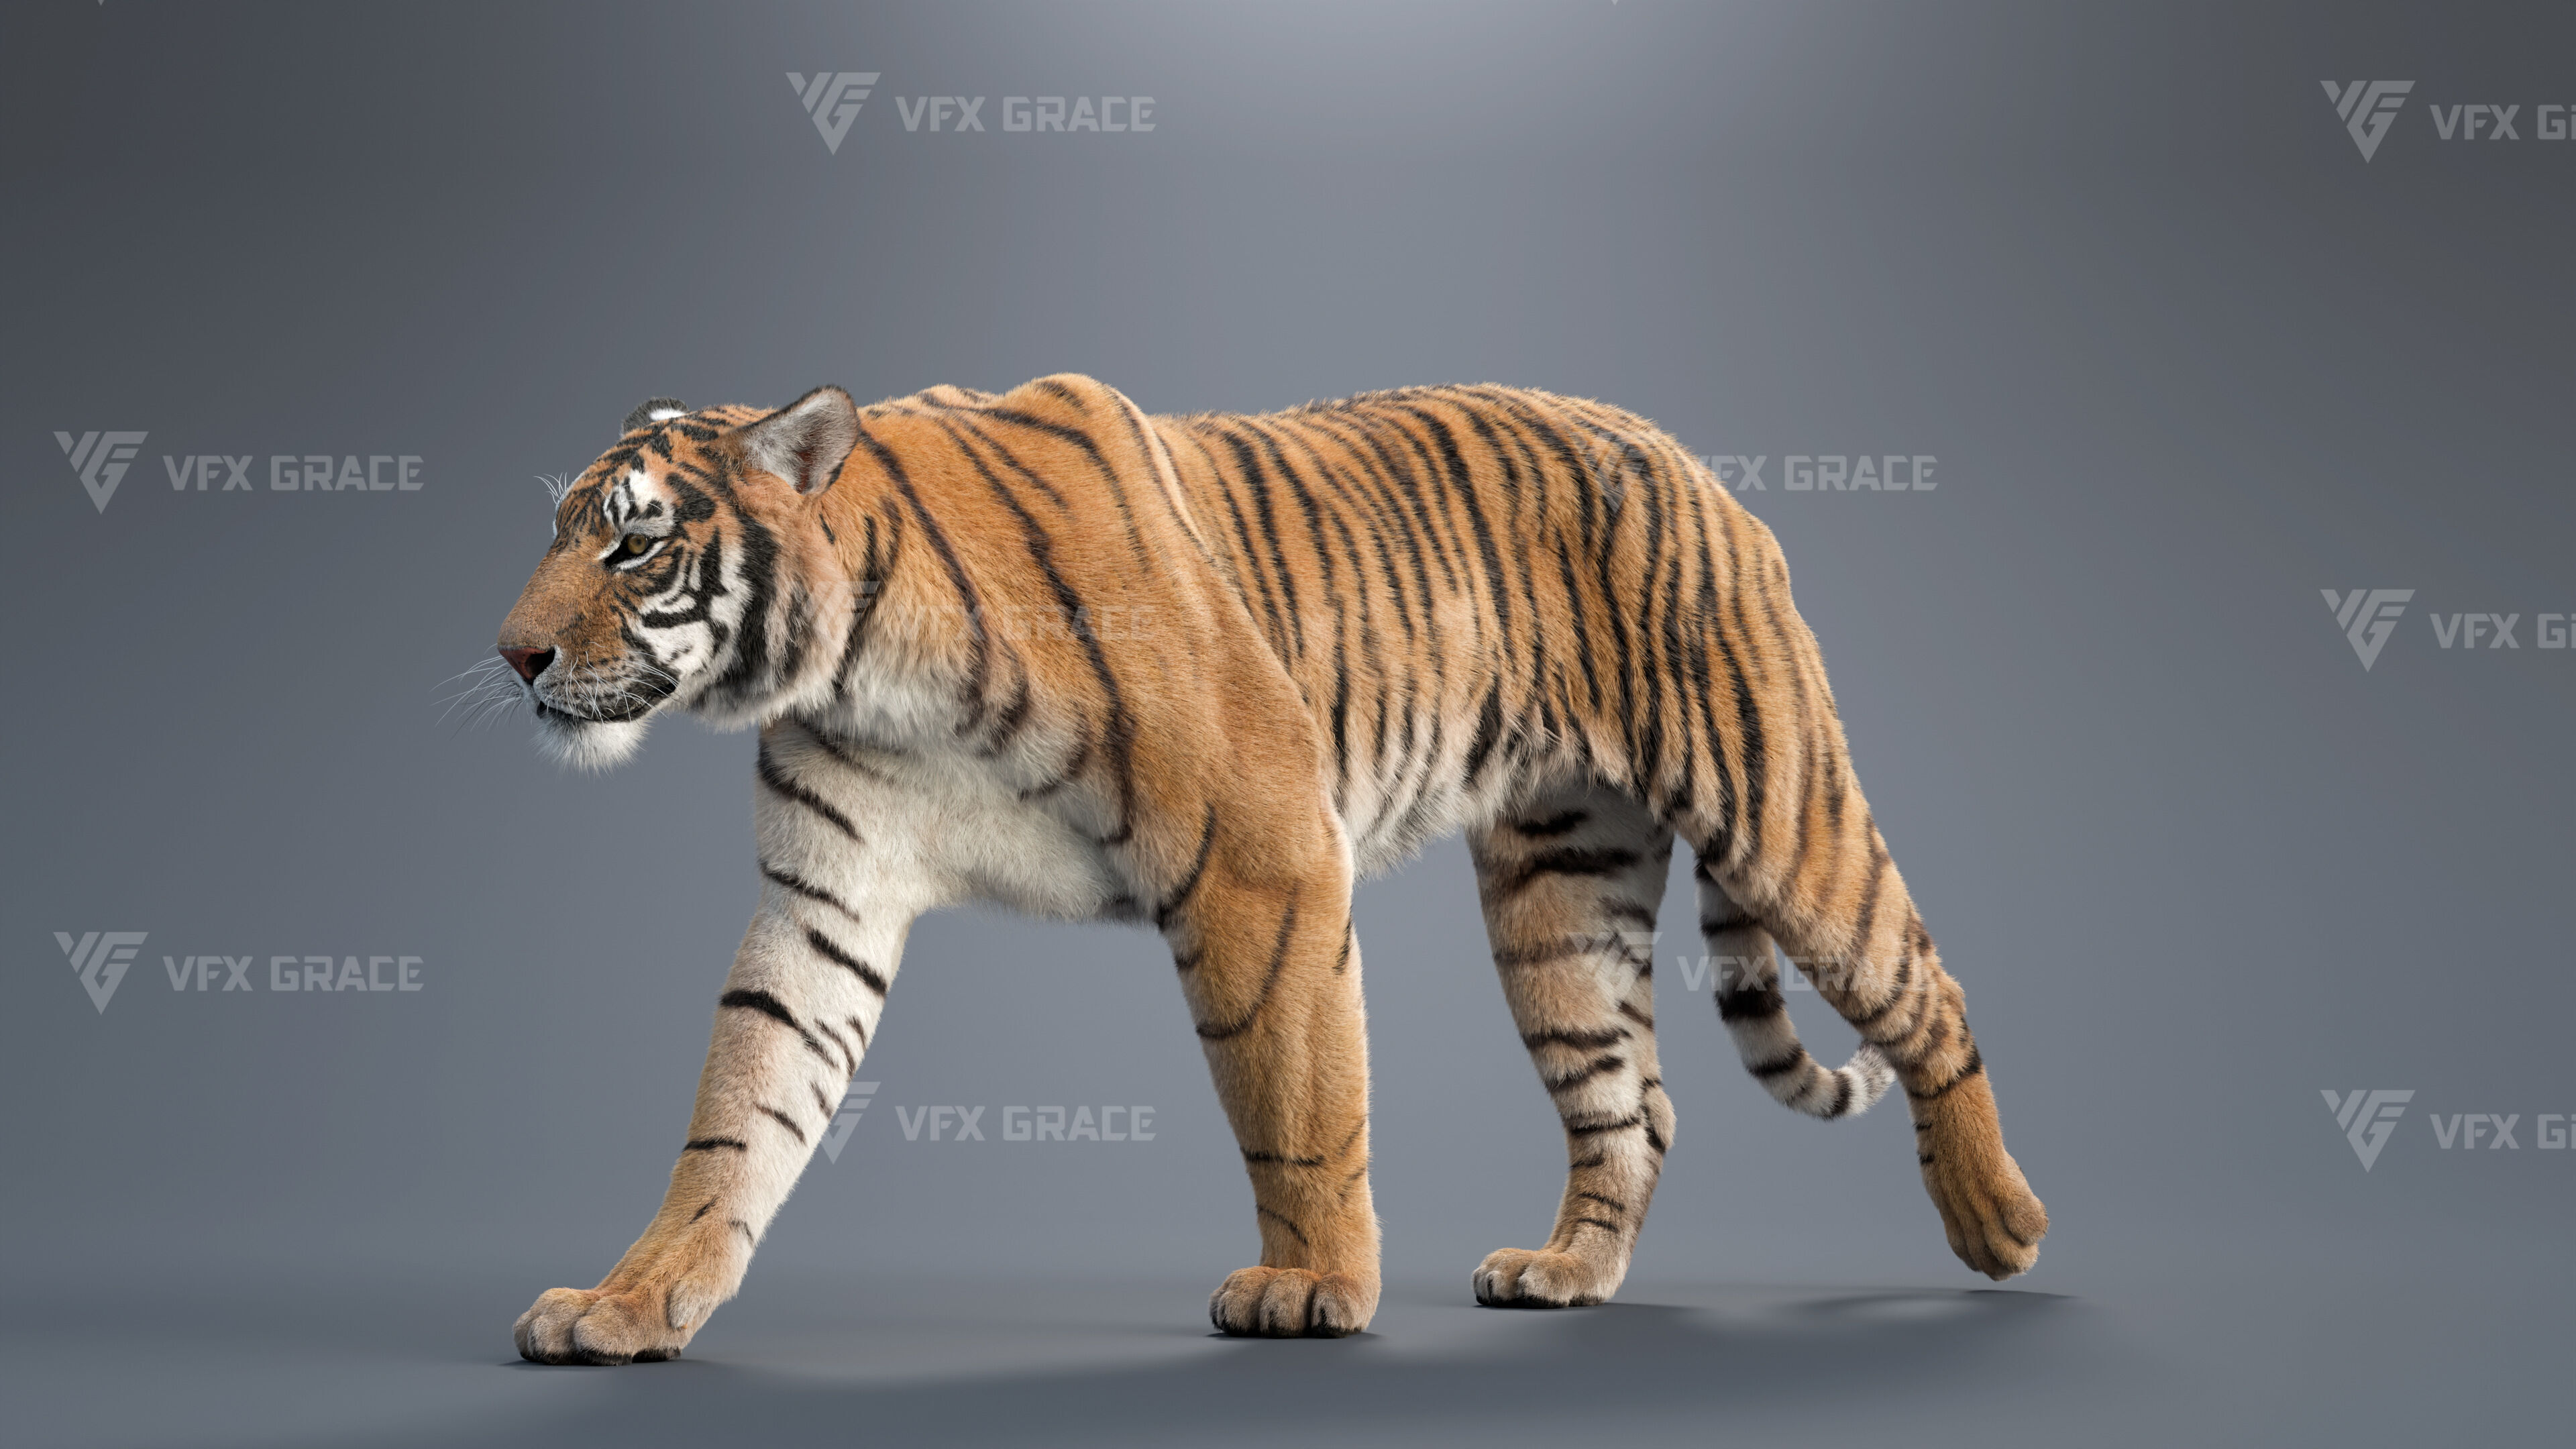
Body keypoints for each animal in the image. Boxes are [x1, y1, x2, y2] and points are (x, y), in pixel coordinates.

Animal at [497, 374, 2047, 1362]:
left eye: (633, 547)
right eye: (558, 531)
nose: (513, 654)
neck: (859, 663)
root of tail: (1686, 458)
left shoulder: (1261, 850)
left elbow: (1294, 1091)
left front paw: (1311, 1288)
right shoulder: (825, 901)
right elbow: (738, 1116)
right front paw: (632, 1304)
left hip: (1774, 805)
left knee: (1928, 988)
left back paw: (2000, 1226)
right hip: (1560, 893)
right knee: (1635, 1101)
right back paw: (1566, 1274)